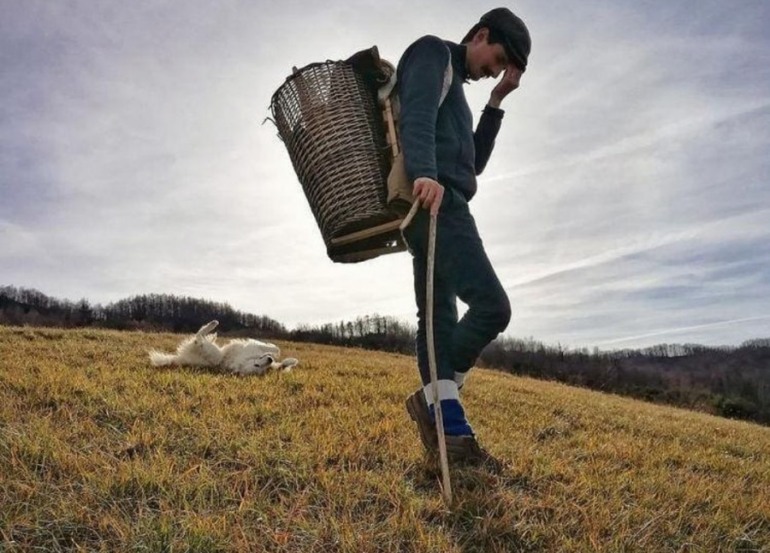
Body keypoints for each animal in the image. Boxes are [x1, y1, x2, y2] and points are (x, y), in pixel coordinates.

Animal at [148, 320, 298, 376]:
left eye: (261, 368)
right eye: (256, 366)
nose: (270, 361)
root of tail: (180, 358)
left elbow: (282, 363)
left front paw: (290, 361)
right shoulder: (252, 347)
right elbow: (275, 348)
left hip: (213, 353)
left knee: (198, 339)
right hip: (215, 353)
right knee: (198, 336)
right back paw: (213, 326)